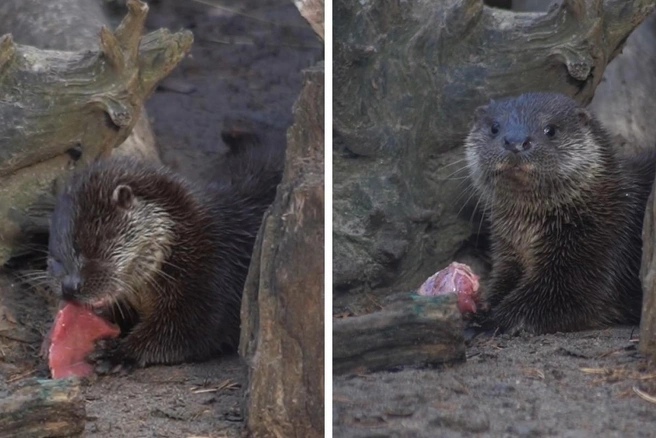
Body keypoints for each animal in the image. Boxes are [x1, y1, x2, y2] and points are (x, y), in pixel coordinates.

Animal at [45, 152, 282, 372]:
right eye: (55, 256)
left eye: (95, 243)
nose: (69, 286)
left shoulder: (214, 281)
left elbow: (185, 333)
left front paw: (118, 353)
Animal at [464, 91, 656, 332]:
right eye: (494, 128)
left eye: (550, 130)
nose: (515, 143)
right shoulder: (508, 253)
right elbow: (502, 282)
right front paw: (483, 306)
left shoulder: (601, 247)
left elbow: (558, 298)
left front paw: (488, 321)